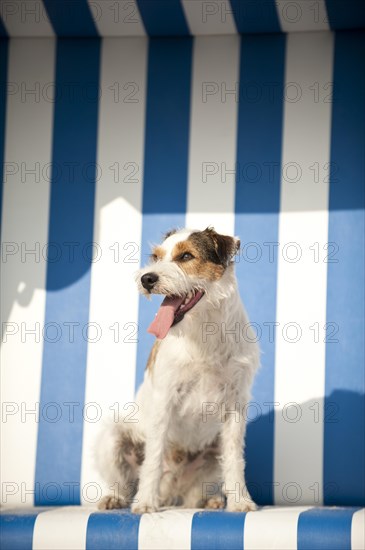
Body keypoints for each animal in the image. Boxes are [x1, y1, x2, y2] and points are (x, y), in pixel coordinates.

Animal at [96, 227, 258, 512]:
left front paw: (240, 501)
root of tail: (170, 490)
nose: (147, 279)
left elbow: (234, 459)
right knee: (124, 481)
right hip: (113, 437)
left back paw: (209, 500)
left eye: (186, 256)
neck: (203, 331)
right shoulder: (165, 400)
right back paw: (116, 498)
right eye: (157, 257)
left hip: (211, 453)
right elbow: (153, 458)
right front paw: (145, 502)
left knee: (194, 493)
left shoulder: (235, 405)